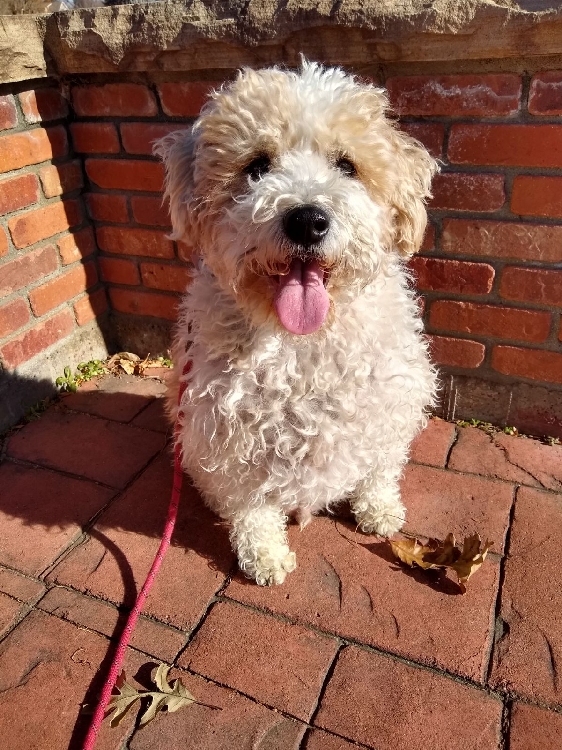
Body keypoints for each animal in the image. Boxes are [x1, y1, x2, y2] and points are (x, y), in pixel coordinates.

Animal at [154, 63, 438, 588]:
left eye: (347, 165)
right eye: (257, 166)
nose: (307, 220)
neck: (303, 344)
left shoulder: (392, 405)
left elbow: (381, 467)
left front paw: (379, 510)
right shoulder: (224, 431)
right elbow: (250, 508)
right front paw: (264, 556)